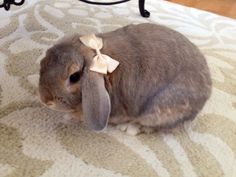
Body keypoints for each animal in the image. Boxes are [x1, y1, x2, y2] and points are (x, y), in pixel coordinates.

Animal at [38, 22, 212, 135]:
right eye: (44, 61)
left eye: (74, 77)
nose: (45, 100)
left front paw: (69, 117)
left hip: (159, 111)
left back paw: (130, 128)